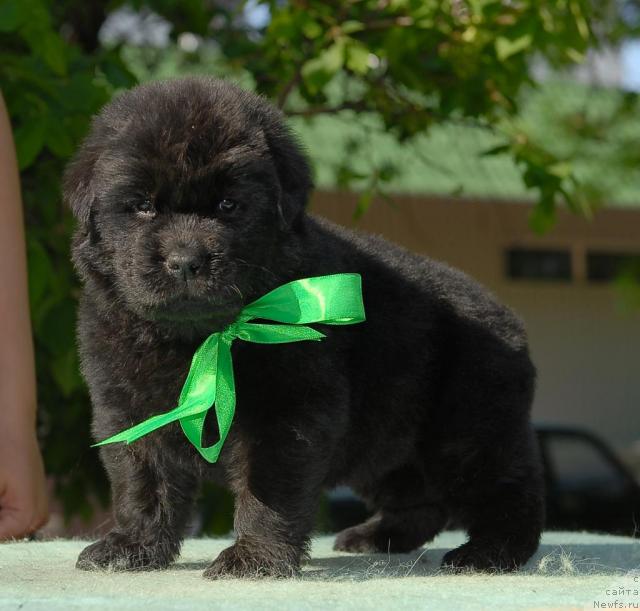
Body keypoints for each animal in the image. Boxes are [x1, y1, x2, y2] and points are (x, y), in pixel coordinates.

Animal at [63, 77, 544, 580]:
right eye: (141, 206)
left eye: (228, 204)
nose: (185, 261)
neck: (199, 339)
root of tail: (508, 317)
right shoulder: (129, 412)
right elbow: (142, 483)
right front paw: (131, 547)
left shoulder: (289, 414)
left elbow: (268, 491)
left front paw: (254, 558)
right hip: (386, 444)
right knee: (422, 500)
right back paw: (376, 537)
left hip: (468, 432)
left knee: (511, 492)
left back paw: (489, 553)